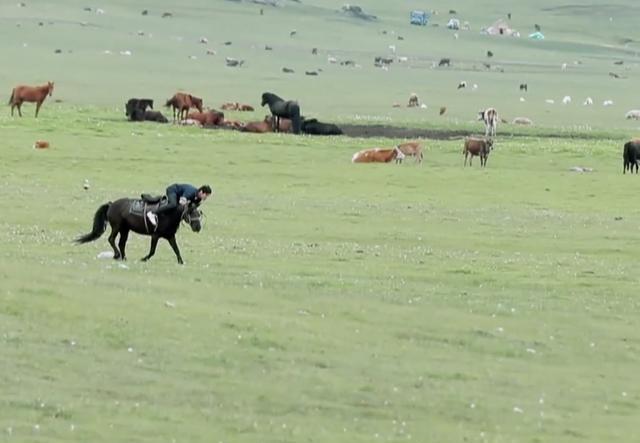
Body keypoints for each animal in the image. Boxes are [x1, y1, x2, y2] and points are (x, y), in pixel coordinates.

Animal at [76, 197, 204, 266]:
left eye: (199, 212)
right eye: (190, 212)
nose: (198, 227)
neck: (168, 214)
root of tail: (111, 204)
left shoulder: (170, 236)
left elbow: (176, 249)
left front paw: (181, 262)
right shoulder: (155, 235)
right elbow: (152, 251)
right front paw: (144, 259)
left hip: (125, 230)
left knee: (121, 243)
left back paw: (124, 258)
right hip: (117, 227)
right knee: (111, 239)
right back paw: (117, 255)